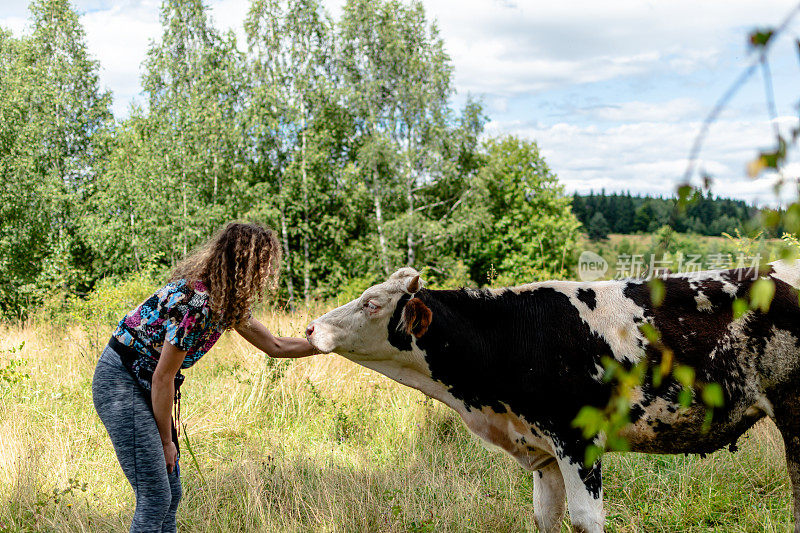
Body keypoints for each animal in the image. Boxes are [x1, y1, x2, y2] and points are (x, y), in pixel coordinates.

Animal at [304, 262, 800, 532]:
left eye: (372, 304)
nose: (310, 328)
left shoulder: (578, 441)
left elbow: (585, 518)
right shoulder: (544, 453)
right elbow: (546, 518)